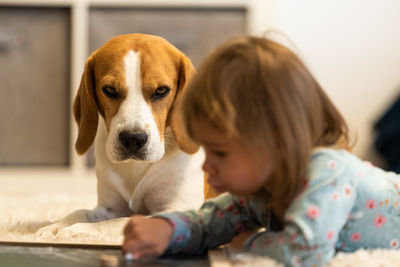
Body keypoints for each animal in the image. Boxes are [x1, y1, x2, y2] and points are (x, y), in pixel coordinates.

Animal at [37, 34, 206, 237]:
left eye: (161, 90)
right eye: (109, 89)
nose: (133, 139)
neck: (134, 168)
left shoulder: (176, 210)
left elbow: (120, 222)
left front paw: (77, 230)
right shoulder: (110, 207)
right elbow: (81, 212)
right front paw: (56, 226)